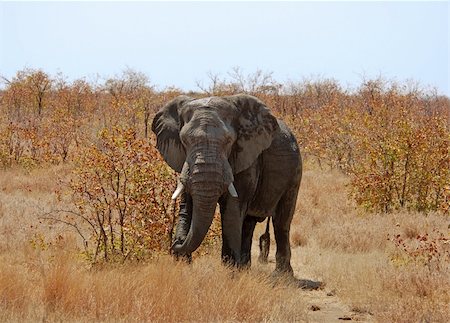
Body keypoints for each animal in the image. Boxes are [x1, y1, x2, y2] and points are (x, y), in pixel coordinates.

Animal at [151, 94, 302, 276]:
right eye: (184, 141)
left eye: (229, 141)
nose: (176, 243)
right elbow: (188, 204)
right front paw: (183, 263)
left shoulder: (247, 157)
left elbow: (232, 208)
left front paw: (230, 270)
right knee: (249, 223)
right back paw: (245, 267)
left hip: (295, 172)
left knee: (281, 221)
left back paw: (282, 275)